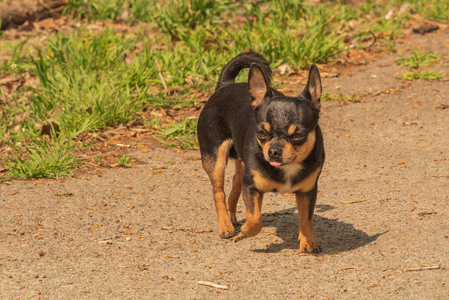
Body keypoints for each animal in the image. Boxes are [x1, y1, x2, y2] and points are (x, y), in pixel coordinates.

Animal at [198, 52, 324, 253]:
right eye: (261, 133)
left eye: (298, 135)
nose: (274, 151)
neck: (288, 168)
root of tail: (225, 85)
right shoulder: (252, 188)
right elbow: (255, 218)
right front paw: (245, 231)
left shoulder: (307, 191)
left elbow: (306, 219)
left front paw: (308, 242)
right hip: (215, 159)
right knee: (218, 192)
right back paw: (226, 225)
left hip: (241, 164)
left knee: (236, 182)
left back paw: (231, 216)